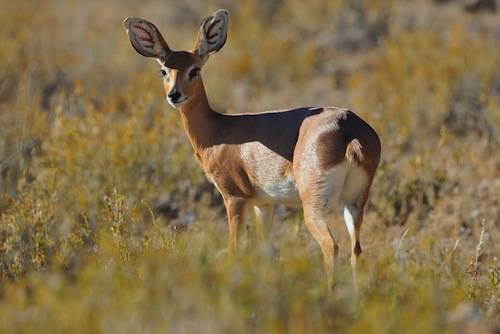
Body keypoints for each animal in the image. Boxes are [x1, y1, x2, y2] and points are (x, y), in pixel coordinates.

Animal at [124, 9, 378, 288]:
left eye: (194, 69)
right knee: (357, 251)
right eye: (164, 70)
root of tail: (349, 128)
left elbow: (235, 249)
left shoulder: (234, 197)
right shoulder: (264, 204)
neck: (217, 131)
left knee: (331, 246)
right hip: (354, 202)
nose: (174, 95)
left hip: (313, 204)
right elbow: (267, 251)